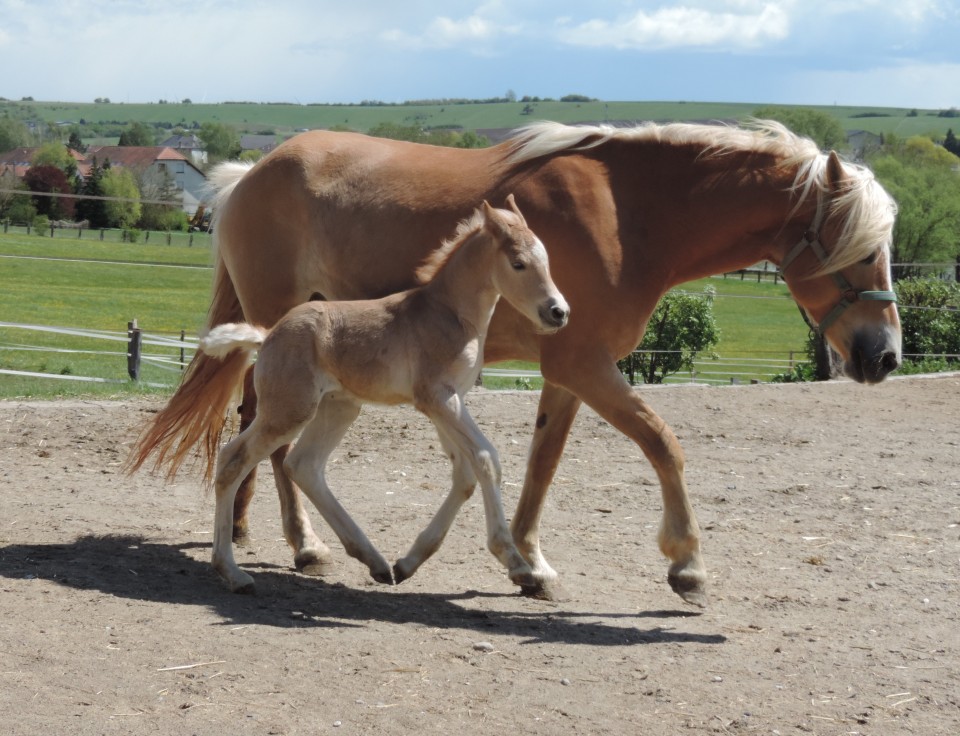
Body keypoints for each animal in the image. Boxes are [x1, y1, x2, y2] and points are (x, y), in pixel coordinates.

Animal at [198, 197, 568, 592]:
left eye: (546, 259)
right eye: (518, 264)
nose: (558, 312)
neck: (450, 314)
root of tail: (267, 336)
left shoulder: (450, 401)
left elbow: (464, 474)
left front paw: (410, 562)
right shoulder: (438, 398)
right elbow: (486, 460)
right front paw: (517, 564)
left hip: (339, 407)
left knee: (303, 464)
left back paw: (374, 561)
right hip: (289, 411)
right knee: (234, 459)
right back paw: (232, 571)